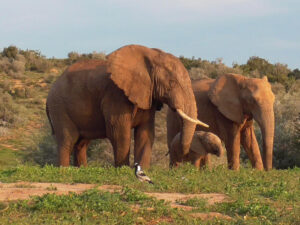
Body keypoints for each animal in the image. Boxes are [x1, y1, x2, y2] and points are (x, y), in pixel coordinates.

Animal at [47, 44, 207, 167]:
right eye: (172, 83)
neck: (151, 56)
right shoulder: (116, 95)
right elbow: (119, 133)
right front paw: (122, 169)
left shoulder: (147, 96)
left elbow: (145, 133)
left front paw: (142, 171)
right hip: (59, 107)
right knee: (68, 140)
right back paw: (64, 170)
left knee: (81, 143)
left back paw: (82, 169)